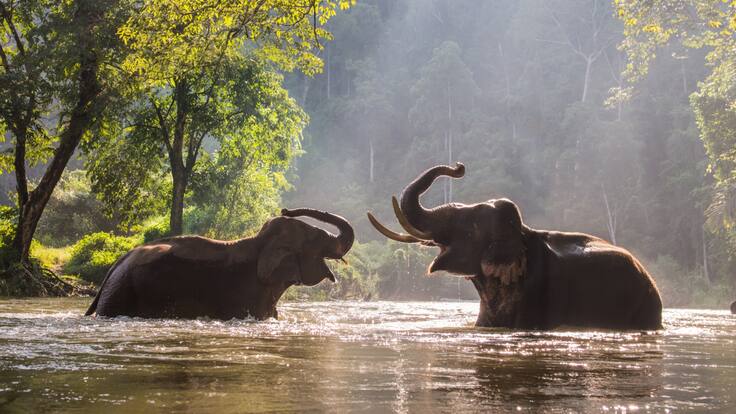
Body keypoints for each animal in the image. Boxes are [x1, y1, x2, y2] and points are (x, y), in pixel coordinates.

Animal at [85, 208, 354, 319]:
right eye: (316, 239)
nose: (285, 209)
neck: (259, 242)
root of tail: (115, 265)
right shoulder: (244, 295)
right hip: (121, 295)